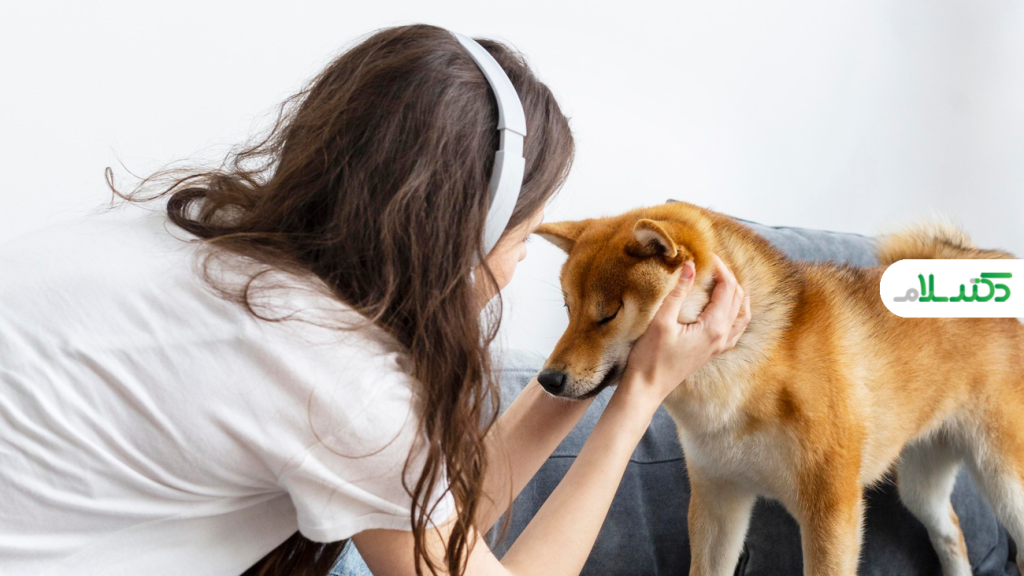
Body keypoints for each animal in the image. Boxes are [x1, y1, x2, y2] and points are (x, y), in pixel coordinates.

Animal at [534, 200, 1024, 576]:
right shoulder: (718, 501)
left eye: (608, 313)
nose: (547, 380)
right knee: (952, 534)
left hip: (1004, 480)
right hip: (921, 484)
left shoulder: (831, 511)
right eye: (569, 308)